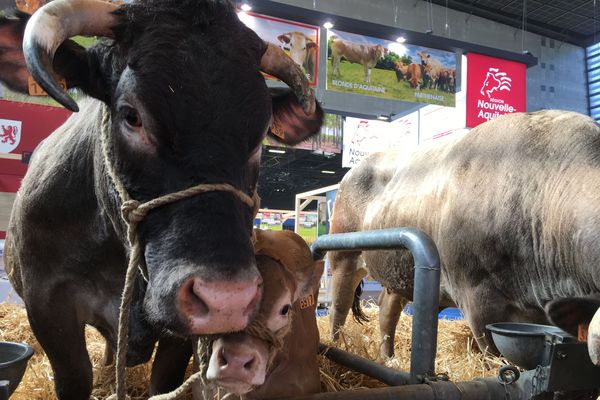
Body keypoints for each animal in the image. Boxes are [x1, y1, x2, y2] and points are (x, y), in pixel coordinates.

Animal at [328, 108, 600, 360]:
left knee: (387, 310)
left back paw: (388, 358)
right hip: (343, 256)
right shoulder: (479, 299)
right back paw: (334, 347)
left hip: (399, 271)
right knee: (338, 307)